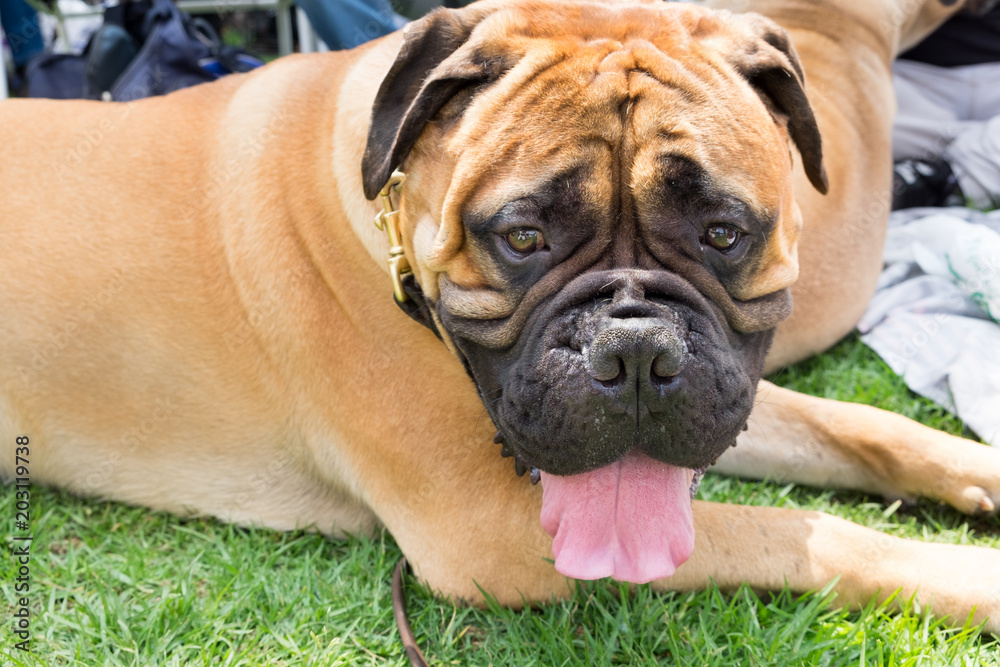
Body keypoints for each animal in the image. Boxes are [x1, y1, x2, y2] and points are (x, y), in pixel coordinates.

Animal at [1, 0, 1000, 636]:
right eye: (523, 236)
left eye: (723, 232)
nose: (635, 351)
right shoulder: (492, 529)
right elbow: (803, 531)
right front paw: (971, 575)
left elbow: (859, 424)